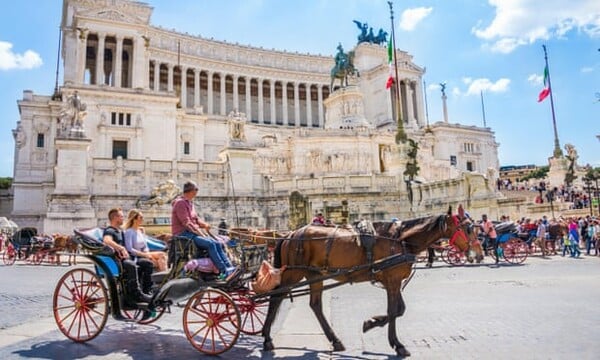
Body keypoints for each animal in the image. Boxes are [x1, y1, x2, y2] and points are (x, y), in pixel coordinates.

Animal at [262, 207, 464, 356]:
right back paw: (267, 339)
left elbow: (399, 309)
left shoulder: (394, 280)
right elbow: (394, 310)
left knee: (315, 304)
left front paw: (372, 323)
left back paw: (335, 341)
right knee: (276, 297)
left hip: (314, 274)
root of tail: (289, 235)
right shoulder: (392, 280)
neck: (399, 240)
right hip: (293, 272)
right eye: (463, 226)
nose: (468, 249)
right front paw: (395, 343)